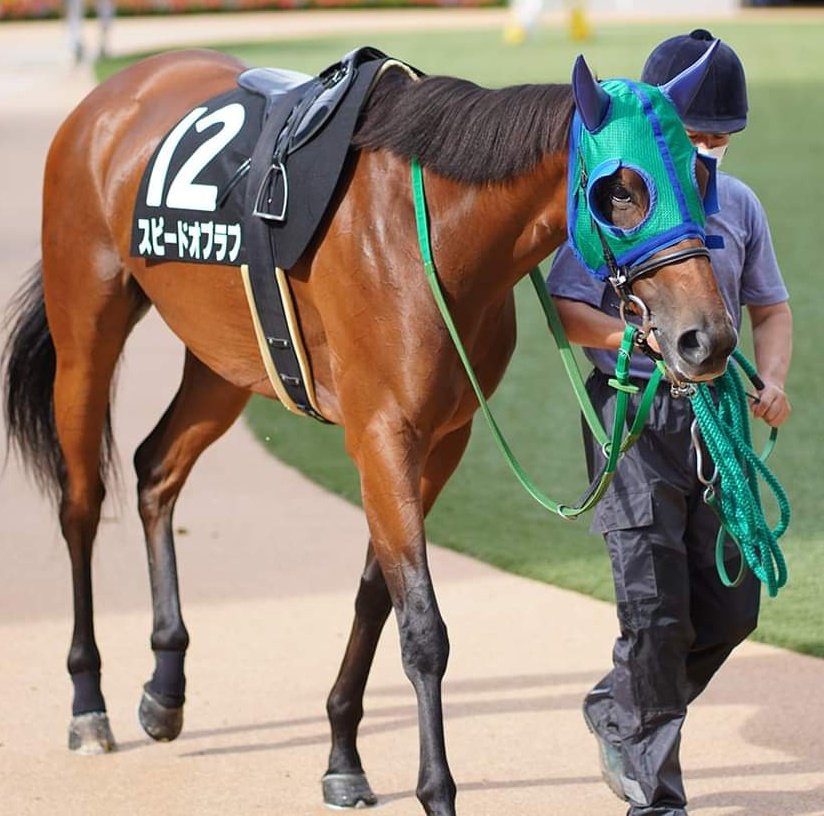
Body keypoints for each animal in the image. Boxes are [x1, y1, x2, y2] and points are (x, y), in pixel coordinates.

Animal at [1, 44, 732, 816]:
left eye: (700, 176)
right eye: (620, 190)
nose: (706, 338)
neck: (433, 233)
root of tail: (114, 90)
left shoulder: (443, 439)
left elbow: (377, 595)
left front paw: (342, 756)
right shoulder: (383, 436)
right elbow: (423, 628)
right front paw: (436, 792)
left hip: (225, 361)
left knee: (156, 468)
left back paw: (164, 689)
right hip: (85, 328)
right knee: (80, 502)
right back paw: (88, 702)